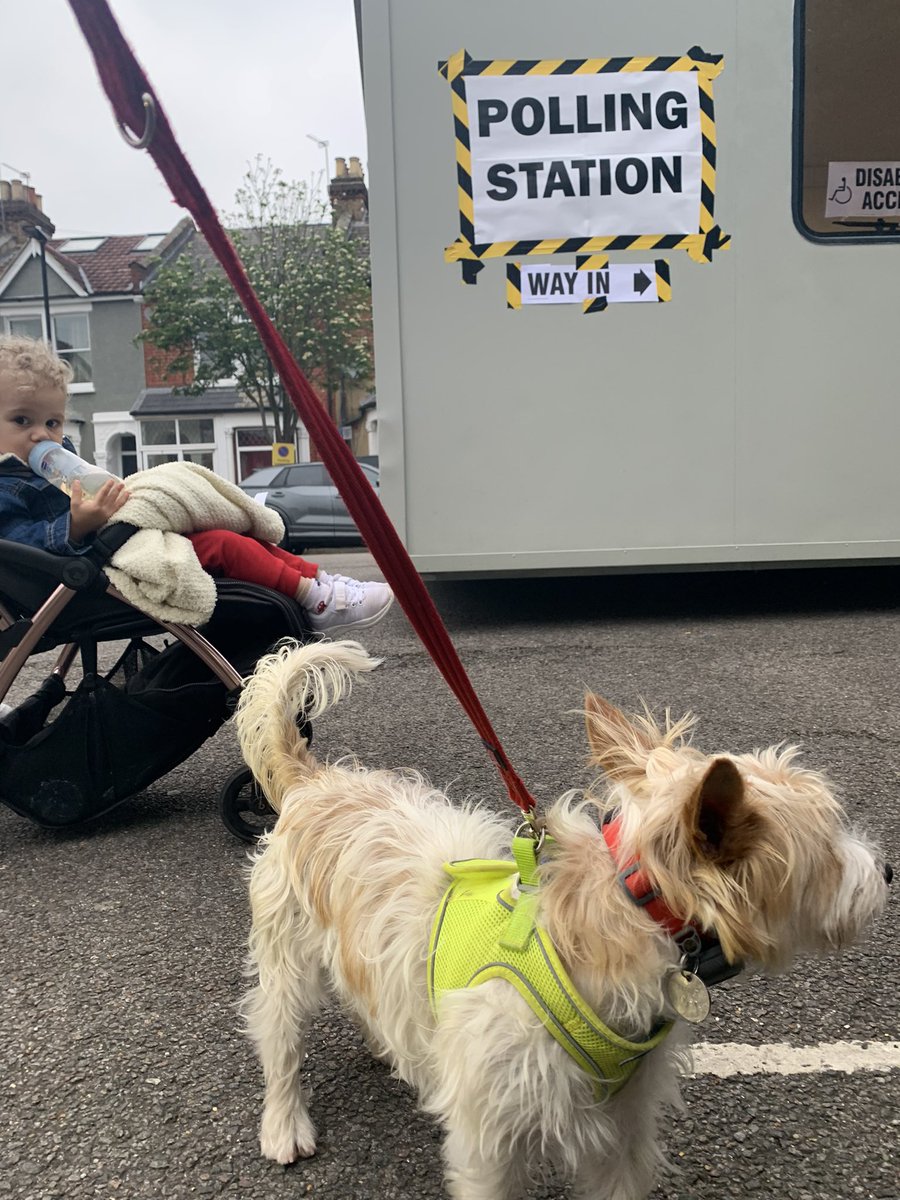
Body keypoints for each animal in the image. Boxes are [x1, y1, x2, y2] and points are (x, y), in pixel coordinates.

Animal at [236, 643, 892, 1195]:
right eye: (830, 846)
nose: (888, 873)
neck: (626, 909)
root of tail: (315, 781)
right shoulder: (490, 1143)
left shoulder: (623, 1127)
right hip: (285, 962)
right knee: (279, 1039)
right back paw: (284, 1124)